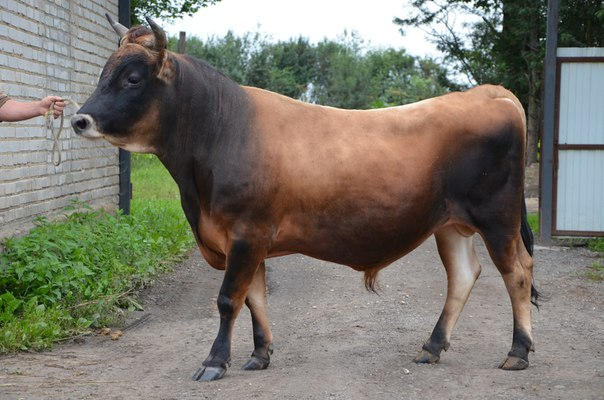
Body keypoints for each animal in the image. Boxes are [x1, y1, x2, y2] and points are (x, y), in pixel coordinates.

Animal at [71, 17, 536, 382]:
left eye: (132, 78)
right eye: (101, 73)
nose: (79, 120)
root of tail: (488, 93)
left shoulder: (247, 232)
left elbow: (228, 299)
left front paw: (214, 362)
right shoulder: (245, 238)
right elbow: (254, 296)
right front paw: (259, 355)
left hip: (498, 218)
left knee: (516, 273)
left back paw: (518, 353)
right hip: (451, 224)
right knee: (464, 275)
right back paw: (432, 347)